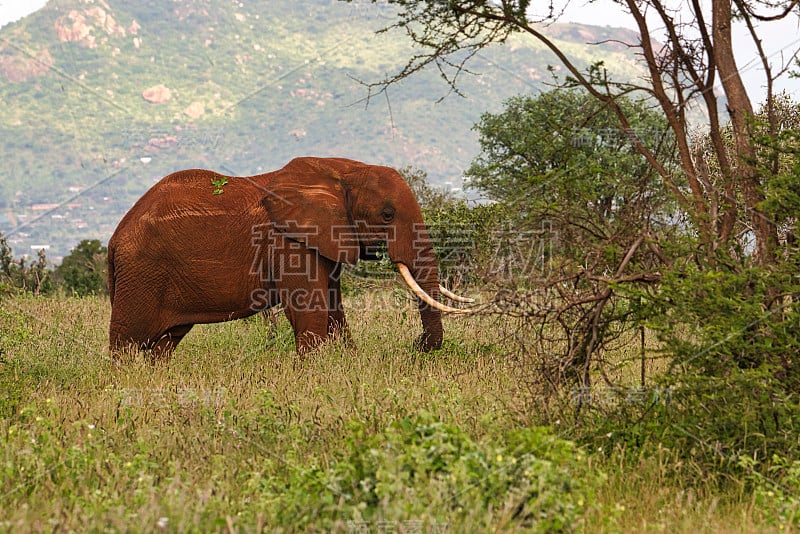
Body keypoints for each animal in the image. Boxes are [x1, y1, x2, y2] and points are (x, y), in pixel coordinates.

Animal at [106, 157, 468, 358]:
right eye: (388, 214)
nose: (417, 345)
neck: (342, 170)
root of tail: (114, 238)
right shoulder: (289, 241)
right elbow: (310, 310)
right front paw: (313, 371)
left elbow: (334, 310)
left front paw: (346, 362)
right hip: (141, 274)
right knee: (127, 342)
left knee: (165, 343)